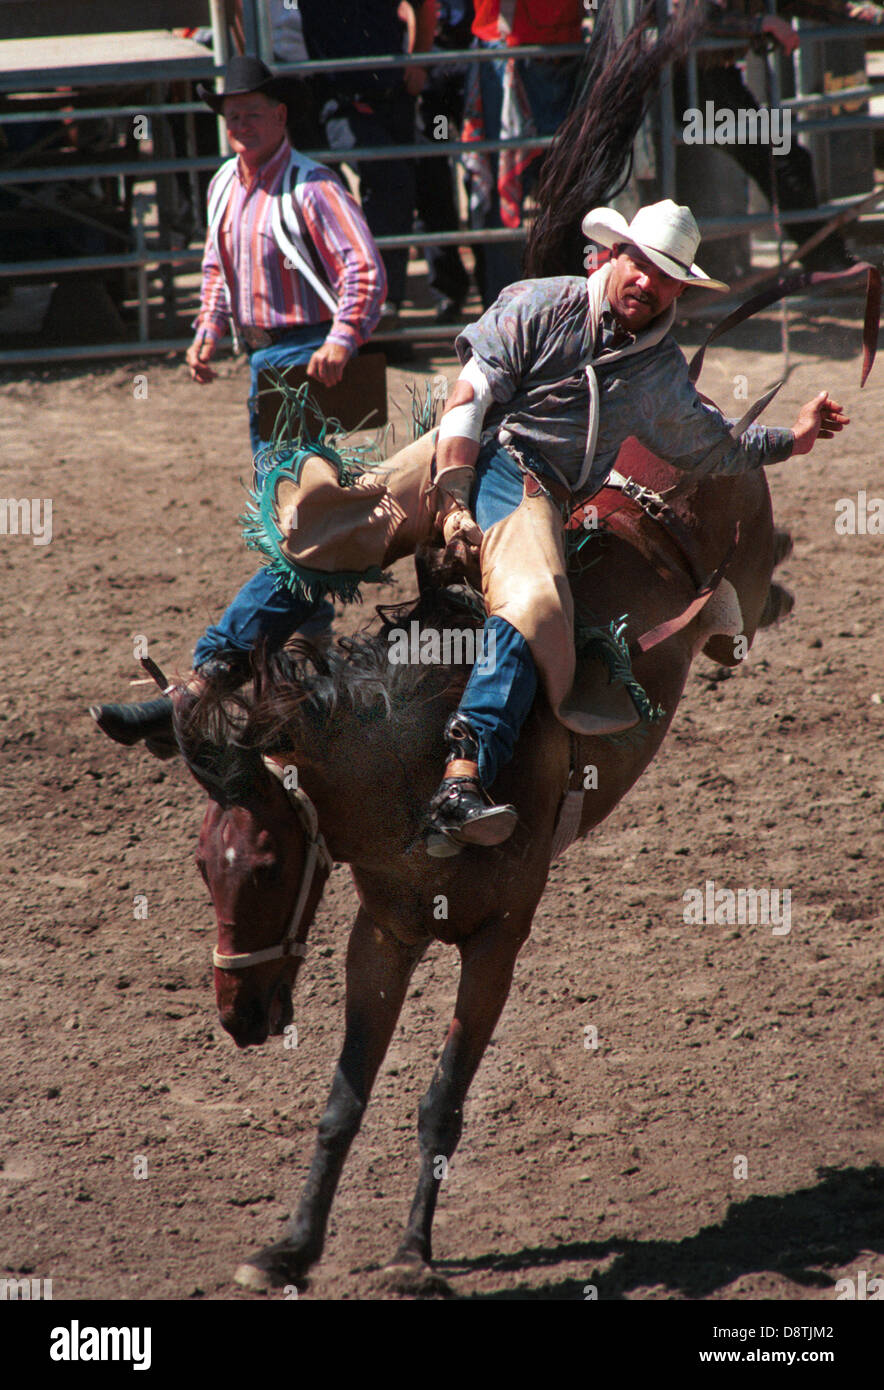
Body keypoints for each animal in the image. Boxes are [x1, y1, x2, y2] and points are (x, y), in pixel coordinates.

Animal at [174, 439, 795, 1295]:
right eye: (206, 867)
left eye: (267, 867)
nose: (236, 1016)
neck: (424, 776)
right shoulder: (383, 934)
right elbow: (343, 1101)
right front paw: (290, 1248)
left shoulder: (498, 938)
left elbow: (442, 1103)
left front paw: (411, 1257)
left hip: (740, 599)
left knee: (750, 606)